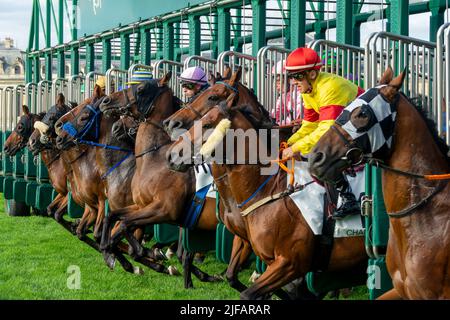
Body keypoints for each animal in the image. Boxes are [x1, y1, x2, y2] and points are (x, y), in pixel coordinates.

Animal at [167, 85, 368, 300]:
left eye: (207, 123)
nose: (172, 154)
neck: (267, 189)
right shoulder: (247, 240)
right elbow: (232, 276)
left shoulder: (290, 262)